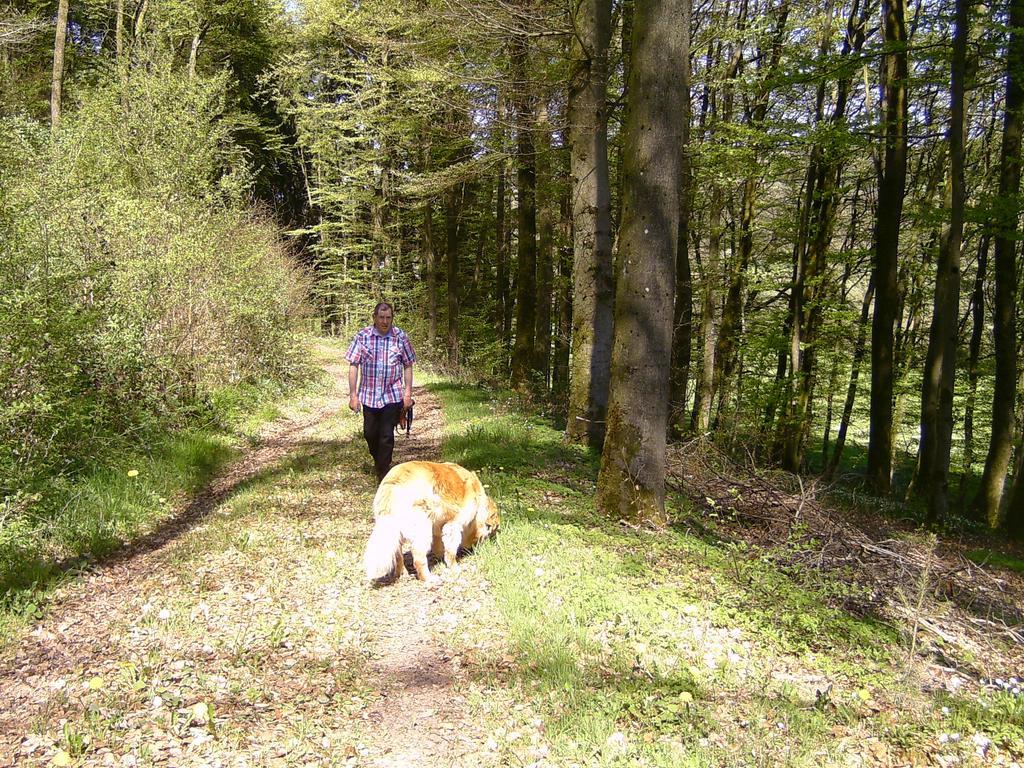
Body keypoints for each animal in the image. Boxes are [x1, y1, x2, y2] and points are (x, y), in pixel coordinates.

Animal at [362, 462, 501, 581]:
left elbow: (439, 545)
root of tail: (394, 482)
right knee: (418, 558)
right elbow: (450, 552)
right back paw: (428, 579)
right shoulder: (453, 525)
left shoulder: (438, 526)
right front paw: (454, 567)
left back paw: (402, 574)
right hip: (422, 529)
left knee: (398, 555)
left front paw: (440, 558)